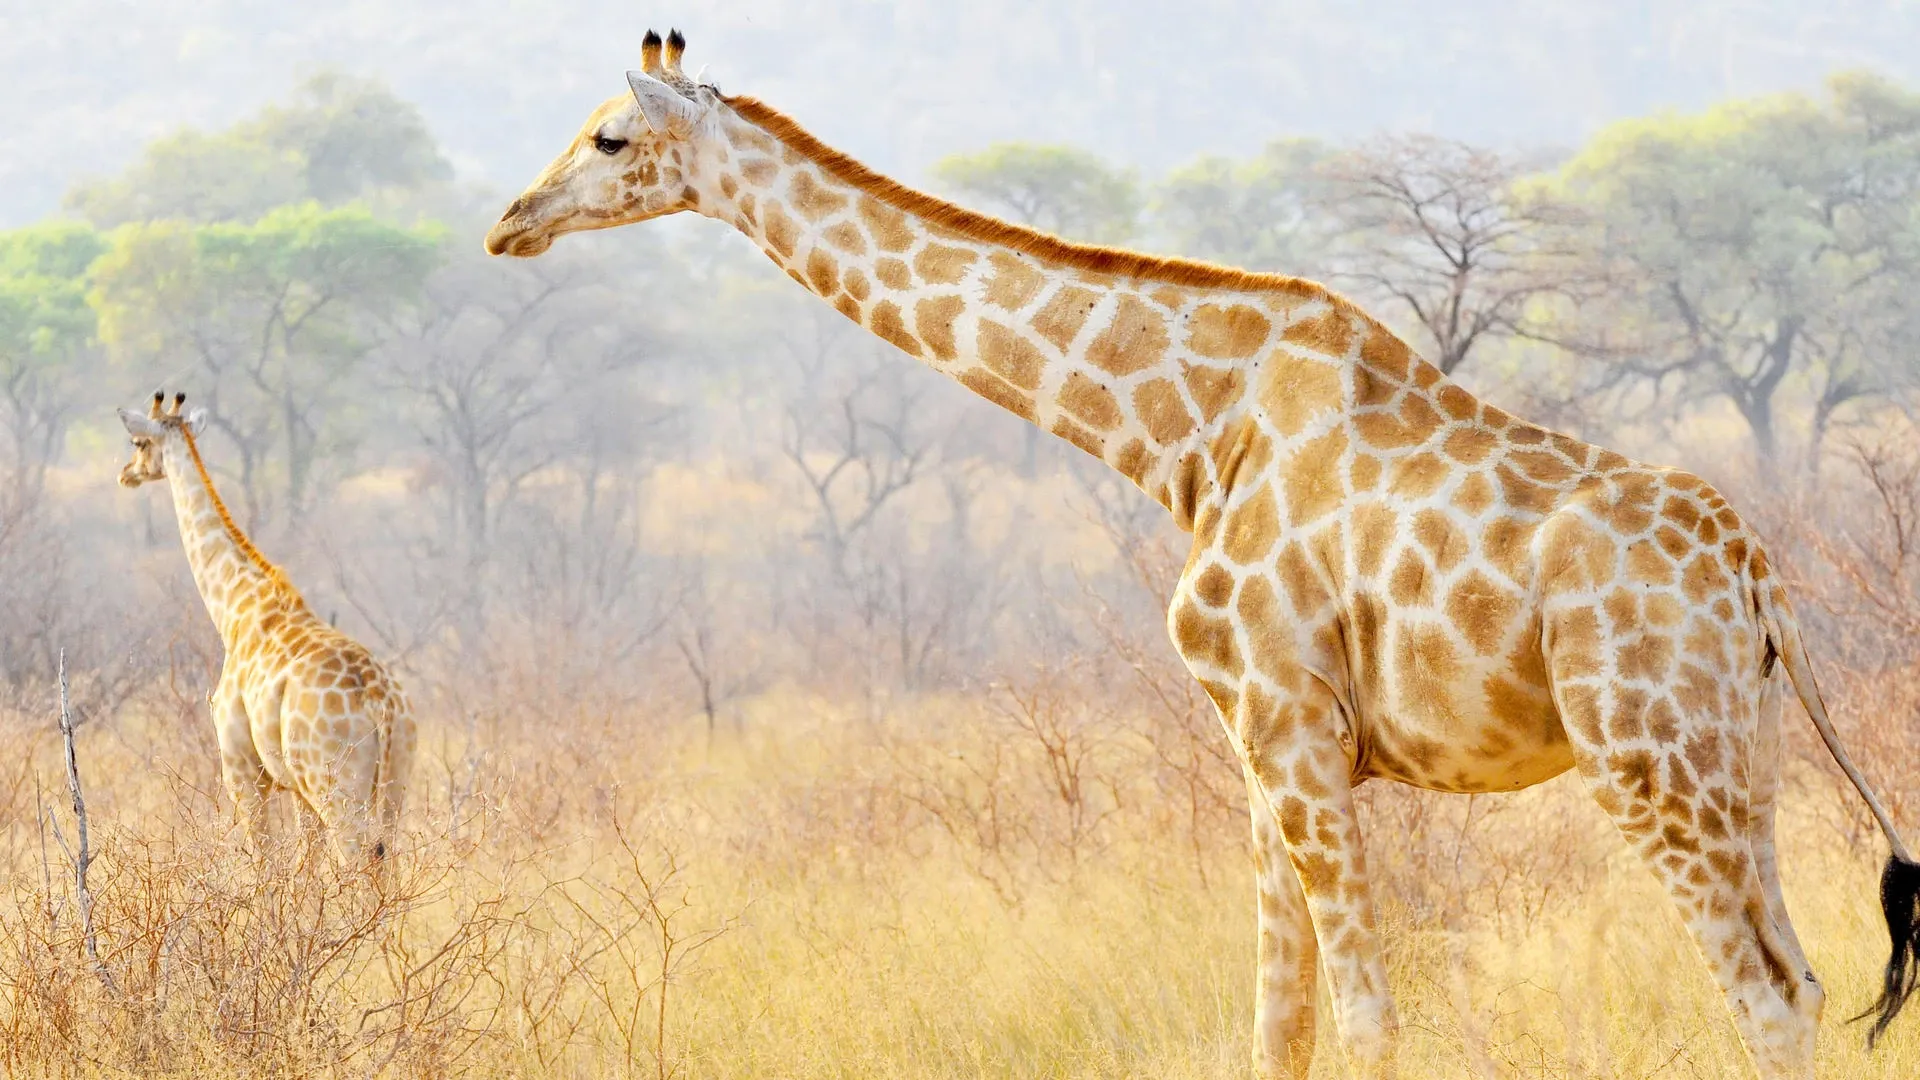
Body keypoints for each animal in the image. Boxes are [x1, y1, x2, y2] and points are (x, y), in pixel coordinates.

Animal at [118, 392, 415, 868]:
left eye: (138, 442)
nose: (126, 473)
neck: (234, 607)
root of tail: (381, 703)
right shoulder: (294, 786)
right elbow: (304, 865)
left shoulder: (242, 769)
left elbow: (267, 864)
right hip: (392, 785)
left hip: (337, 787)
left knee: (358, 859)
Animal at [482, 32, 1920, 1078]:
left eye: (610, 136)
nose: (508, 222)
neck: (1185, 433)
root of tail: (1764, 583)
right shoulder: (1264, 744)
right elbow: (1277, 1025)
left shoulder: (1285, 722)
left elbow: (1365, 1020)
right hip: (1739, 762)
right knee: (1800, 980)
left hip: (1643, 757)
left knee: (1759, 994)